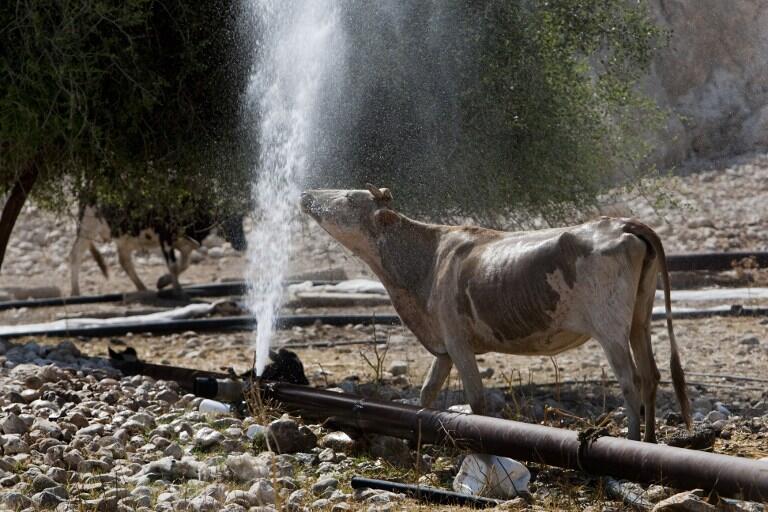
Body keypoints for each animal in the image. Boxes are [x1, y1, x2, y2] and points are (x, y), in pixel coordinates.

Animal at [70, 202, 246, 294]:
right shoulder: (165, 237)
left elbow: (184, 264)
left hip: (126, 237)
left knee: (124, 260)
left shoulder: (184, 244)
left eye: (241, 218)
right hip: (87, 227)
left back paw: (142, 288)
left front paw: (163, 282)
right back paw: (75, 292)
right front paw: (178, 290)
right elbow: (173, 265)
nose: (243, 245)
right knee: (75, 254)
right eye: (227, 219)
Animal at [304, 185, 692, 444]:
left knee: (631, 380)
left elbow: (476, 400)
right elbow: (427, 394)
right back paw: (651, 441)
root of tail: (624, 223)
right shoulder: (444, 346)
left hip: (610, 326)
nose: (308, 192)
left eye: (348, 197)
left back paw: (633, 440)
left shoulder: (458, 342)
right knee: (652, 375)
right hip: (640, 318)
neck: (423, 262)